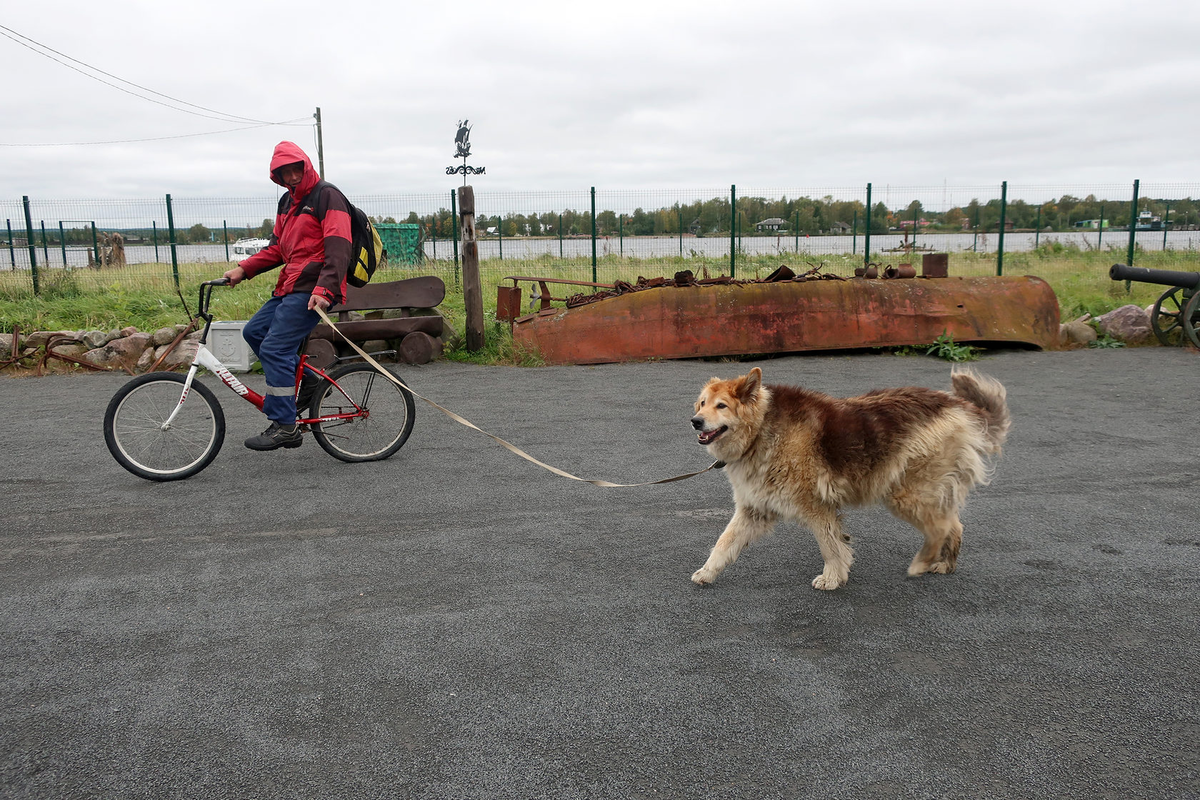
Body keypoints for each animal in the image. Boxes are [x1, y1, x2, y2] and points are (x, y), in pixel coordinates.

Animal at [691, 367, 1008, 587]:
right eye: (702, 403)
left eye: (721, 406)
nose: (695, 421)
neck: (761, 430)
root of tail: (957, 406)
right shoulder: (753, 510)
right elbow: (724, 543)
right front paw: (707, 572)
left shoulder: (816, 508)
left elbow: (830, 546)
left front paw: (832, 578)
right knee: (954, 524)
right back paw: (945, 564)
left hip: (906, 495)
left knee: (940, 527)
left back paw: (921, 563)